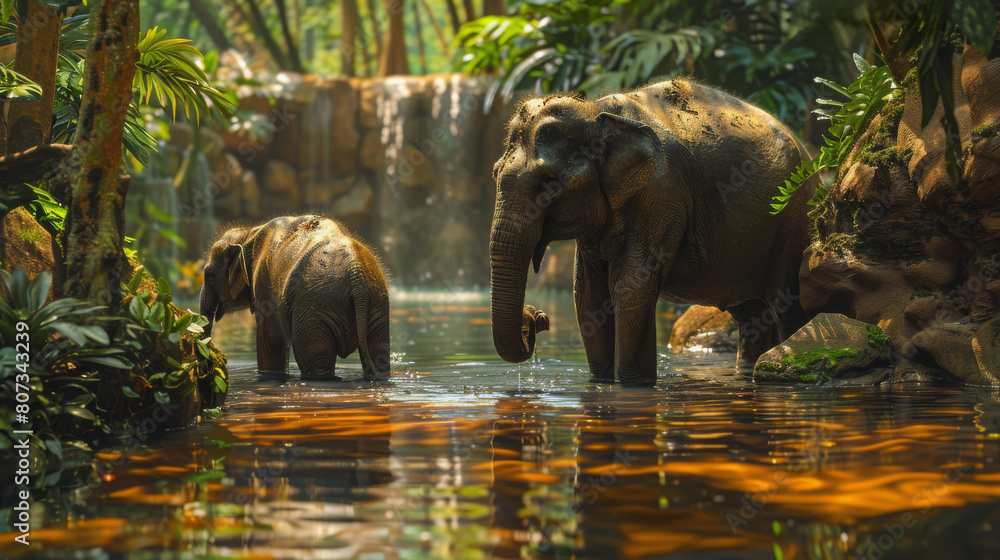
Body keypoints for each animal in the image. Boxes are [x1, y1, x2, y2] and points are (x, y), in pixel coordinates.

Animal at [200, 215, 390, 380]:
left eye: (210, 275)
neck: (249, 233)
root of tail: (355, 274)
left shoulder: (263, 285)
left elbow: (270, 339)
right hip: (376, 304)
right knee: (379, 354)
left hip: (314, 308)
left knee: (315, 358)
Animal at [489, 79, 815, 384]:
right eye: (494, 173)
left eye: (548, 181)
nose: (537, 317)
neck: (596, 110)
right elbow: (588, 296)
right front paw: (600, 382)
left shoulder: (662, 194)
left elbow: (631, 288)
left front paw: (634, 385)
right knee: (752, 317)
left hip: (795, 216)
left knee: (788, 305)